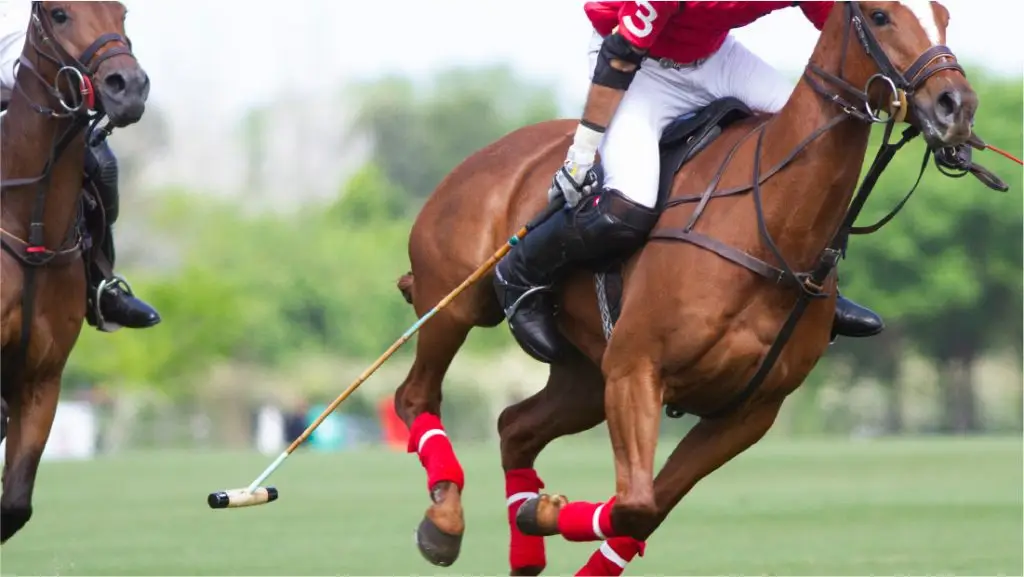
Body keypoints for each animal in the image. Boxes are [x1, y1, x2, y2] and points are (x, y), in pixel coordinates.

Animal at [394, 1, 983, 573]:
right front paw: (541, 511)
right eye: (880, 16)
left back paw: (522, 535)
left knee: (514, 425)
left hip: (583, 375)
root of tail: (488, 153)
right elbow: (635, 502)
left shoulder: (747, 412)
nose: (956, 106)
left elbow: (644, 512)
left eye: (945, 15)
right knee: (415, 394)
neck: (769, 229)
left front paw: (538, 512)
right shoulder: (636, 371)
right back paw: (444, 522)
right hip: (457, 305)